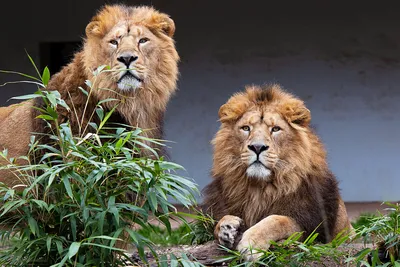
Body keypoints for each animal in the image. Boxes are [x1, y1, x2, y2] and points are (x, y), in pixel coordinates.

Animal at [205, 84, 352, 262]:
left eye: (275, 129)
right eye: (246, 128)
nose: (257, 147)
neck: (259, 188)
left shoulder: (310, 228)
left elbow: (277, 220)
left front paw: (251, 245)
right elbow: (219, 222)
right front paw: (226, 227)